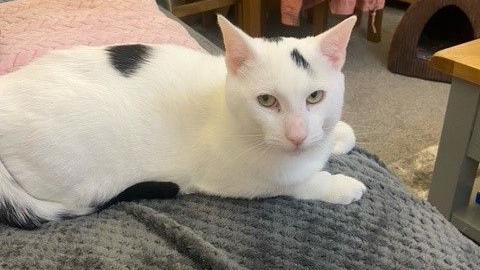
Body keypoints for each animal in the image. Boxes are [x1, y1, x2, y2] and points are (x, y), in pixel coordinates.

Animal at [0, 15, 364, 229]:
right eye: (266, 101)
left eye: (315, 97)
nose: (297, 134)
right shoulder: (240, 180)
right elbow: (300, 183)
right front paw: (342, 186)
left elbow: (339, 135)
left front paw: (337, 137)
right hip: (85, 177)